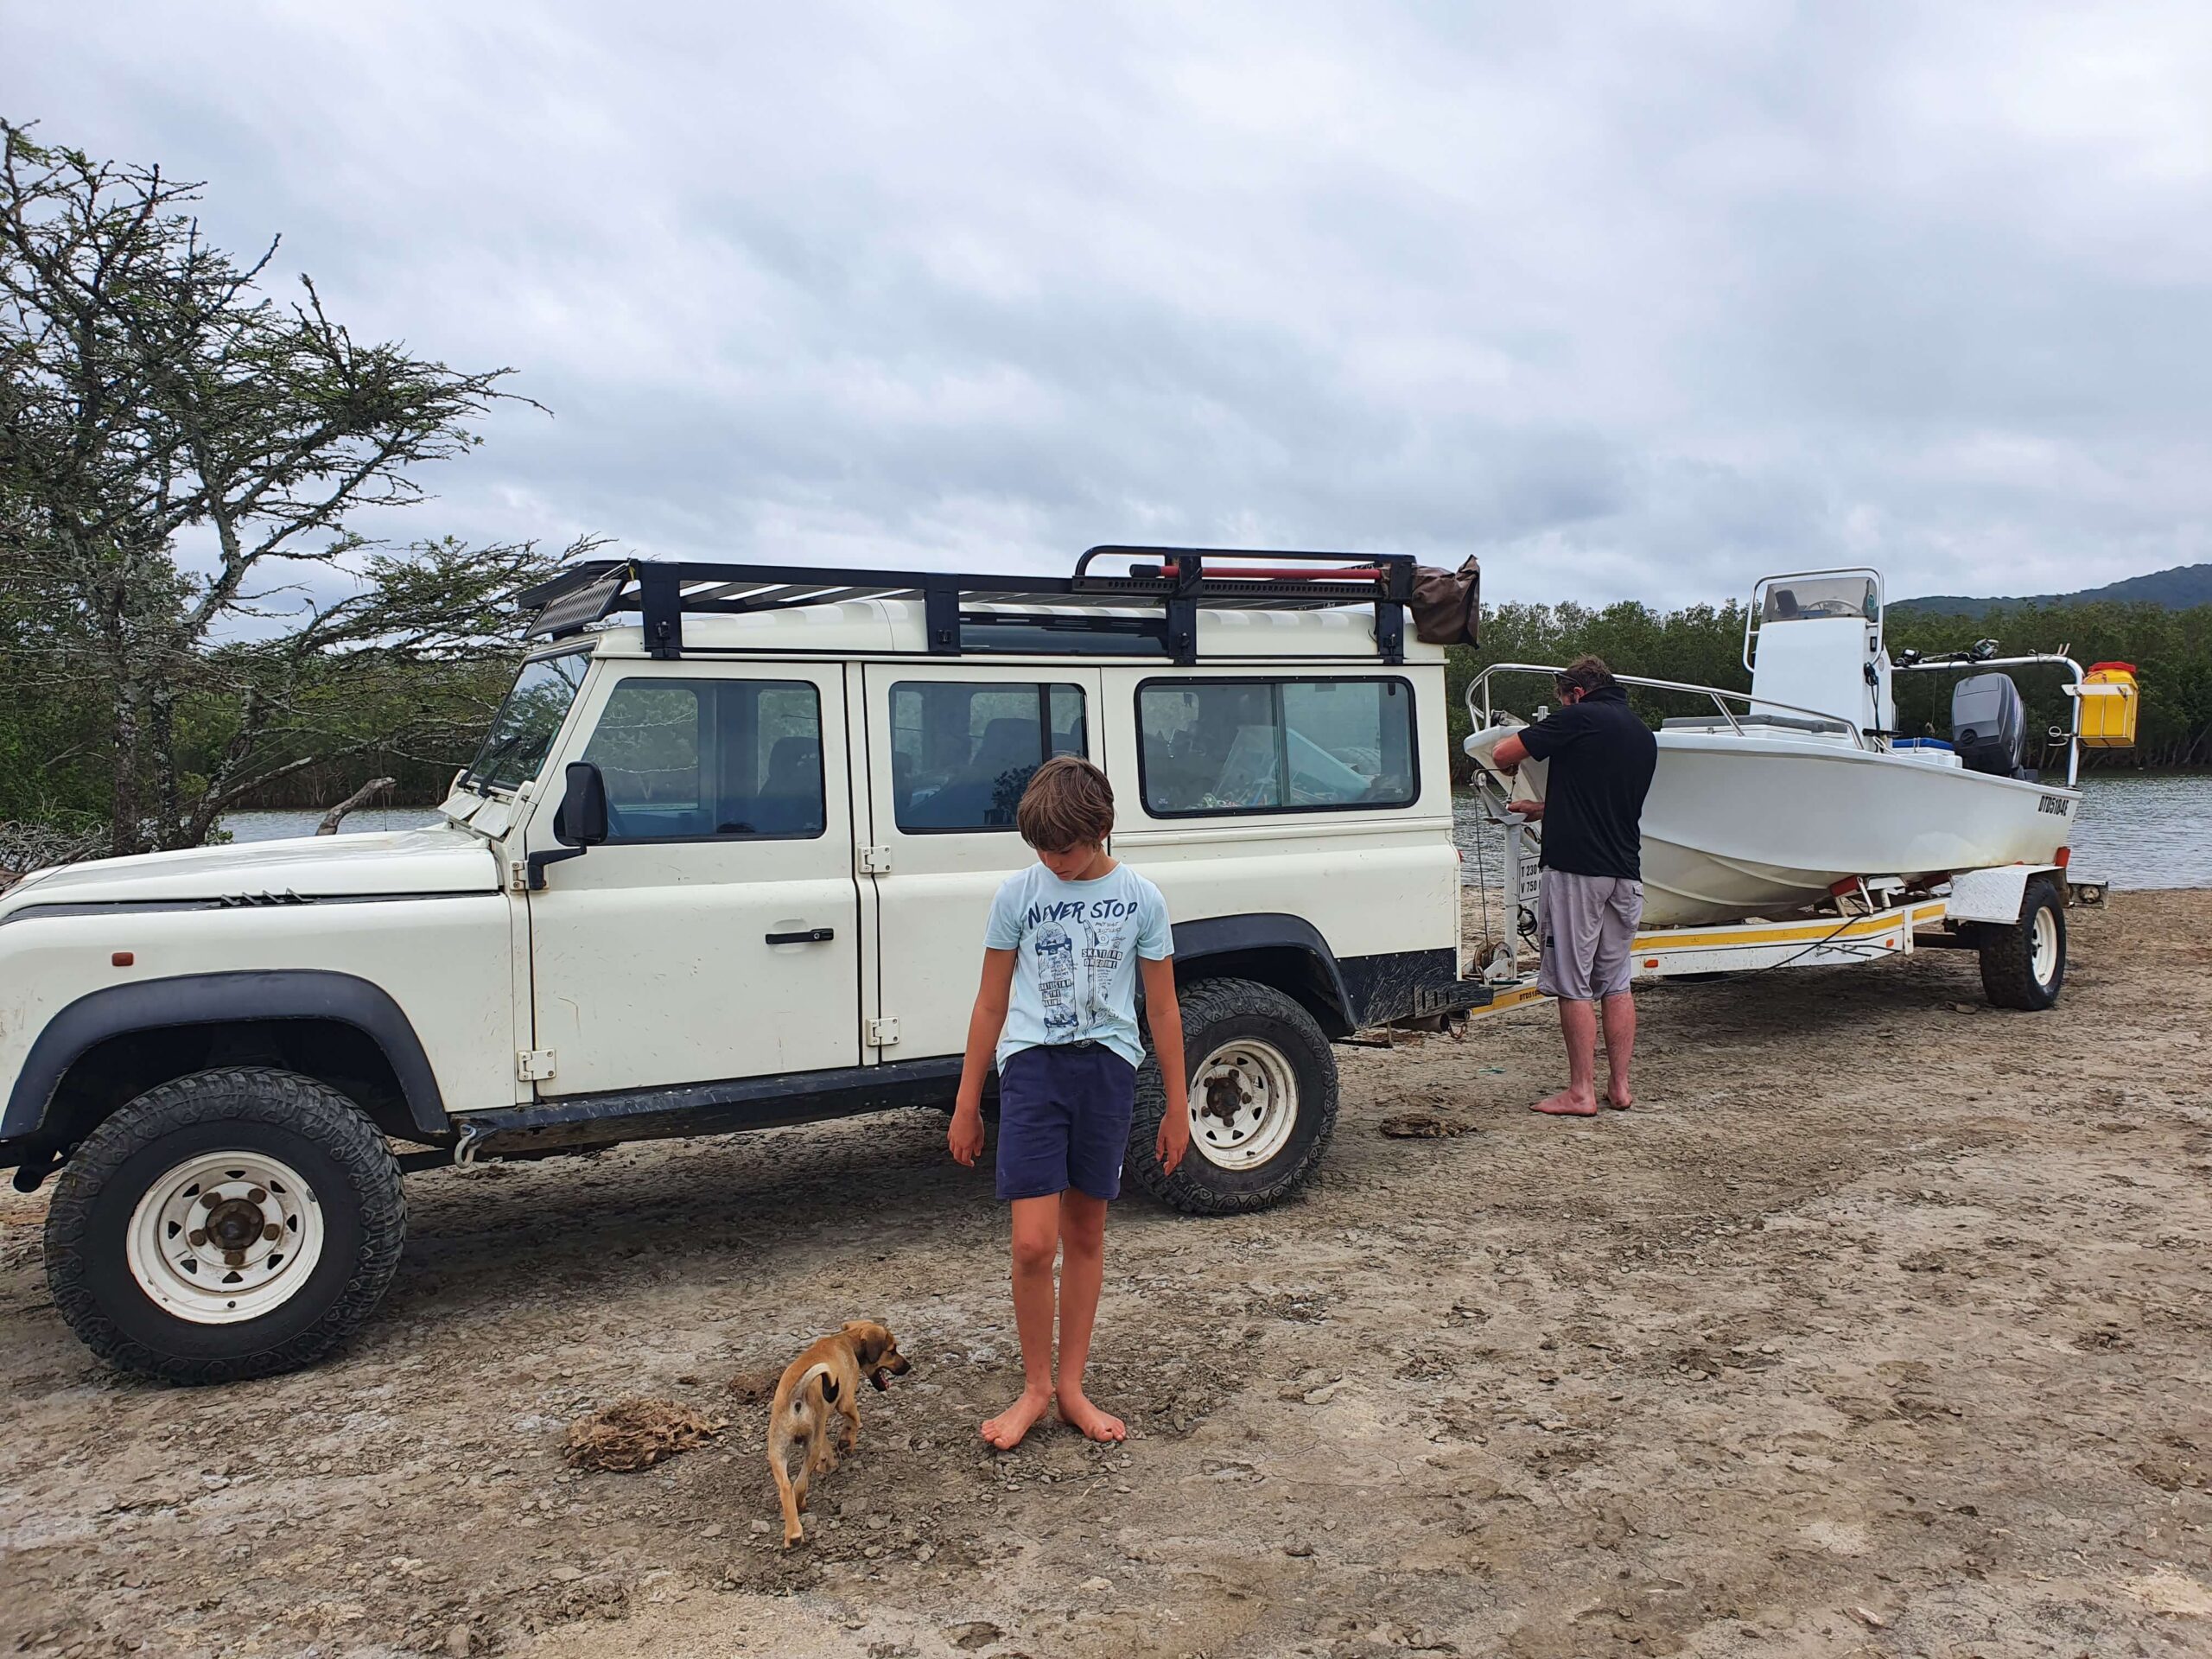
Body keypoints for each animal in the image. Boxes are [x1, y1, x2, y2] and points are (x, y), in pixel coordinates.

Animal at [769, 1327, 906, 1548]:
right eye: (892, 1350)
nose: (908, 1367)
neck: (846, 1340)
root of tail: (796, 1396)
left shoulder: (821, 1423)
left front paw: (829, 1461)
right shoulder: (846, 1401)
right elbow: (854, 1420)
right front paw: (846, 1442)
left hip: (777, 1449)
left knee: (786, 1487)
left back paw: (793, 1533)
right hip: (810, 1445)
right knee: (799, 1485)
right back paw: (800, 1514)